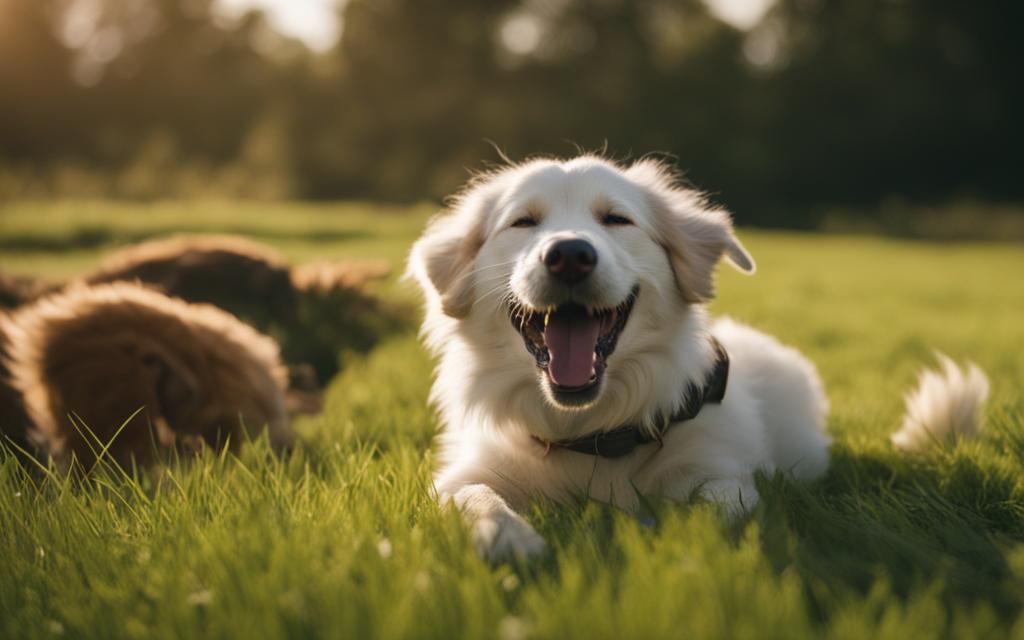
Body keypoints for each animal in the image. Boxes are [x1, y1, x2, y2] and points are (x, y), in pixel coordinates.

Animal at [407, 153, 991, 557]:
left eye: (616, 219)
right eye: (523, 223)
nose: (569, 254)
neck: (592, 433)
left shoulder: (722, 474)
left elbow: (713, 511)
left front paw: (668, 538)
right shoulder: (463, 474)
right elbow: (472, 497)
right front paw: (507, 538)